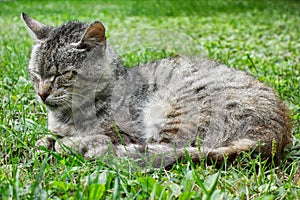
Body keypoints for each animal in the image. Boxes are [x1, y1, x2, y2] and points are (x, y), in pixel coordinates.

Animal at [21, 12, 292, 167]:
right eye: (36, 74)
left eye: (62, 74)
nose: (42, 93)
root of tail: (274, 137)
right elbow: (47, 137)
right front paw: (46, 142)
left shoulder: (127, 131)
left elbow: (99, 135)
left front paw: (69, 143)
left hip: (174, 108)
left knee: (168, 150)